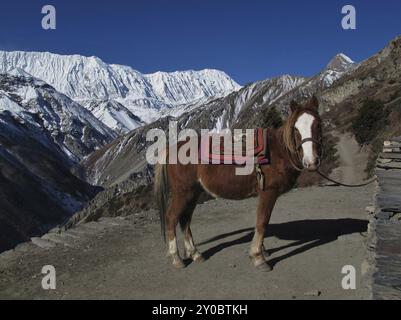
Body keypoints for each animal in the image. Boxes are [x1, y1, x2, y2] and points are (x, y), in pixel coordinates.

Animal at [153, 96, 322, 272]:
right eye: (296, 129)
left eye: (318, 124)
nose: (311, 162)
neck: (278, 153)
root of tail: (172, 148)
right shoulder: (269, 192)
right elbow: (262, 221)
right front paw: (258, 257)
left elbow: (260, 222)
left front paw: (262, 251)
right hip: (183, 192)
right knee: (172, 218)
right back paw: (177, 258)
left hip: (193, 193)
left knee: (185, 220)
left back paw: (195, 254)